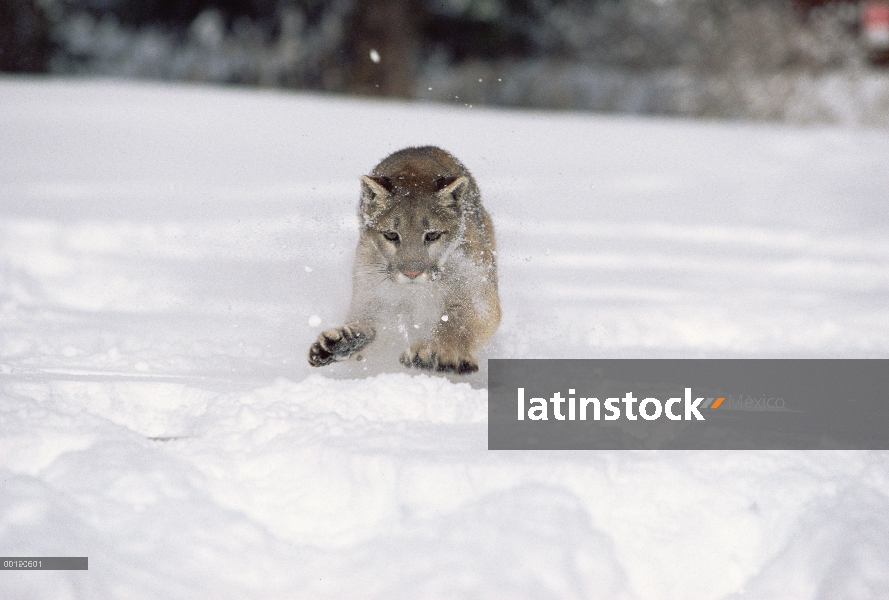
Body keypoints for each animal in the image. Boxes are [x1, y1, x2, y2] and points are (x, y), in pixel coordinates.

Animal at [306, 145, 500, 372]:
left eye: (432, 235)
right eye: (391, 235)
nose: (412, 273)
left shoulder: (478, 292)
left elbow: (457, 321)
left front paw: (436, 350)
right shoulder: (370, 294)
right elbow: (366, 324)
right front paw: (339, 343)